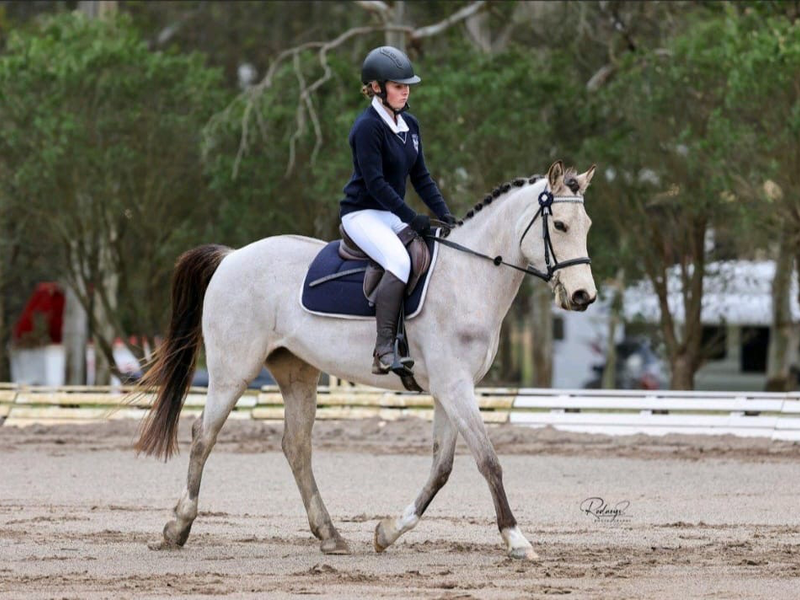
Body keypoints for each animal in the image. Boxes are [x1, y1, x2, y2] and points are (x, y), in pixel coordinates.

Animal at [133, 160, 597, 561]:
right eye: (559, 225)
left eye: (587, 226)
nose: (583, 296)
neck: (469, 276)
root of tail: (231, 256)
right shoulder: (454, 387)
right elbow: (489, 461)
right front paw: (516, 540)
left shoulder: (449, 390)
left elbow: (441, 468)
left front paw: (388, 532)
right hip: (234, 371)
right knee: (203, 435)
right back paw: (178, 527)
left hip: (296, 371)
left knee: (296, 446)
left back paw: (330, 535)